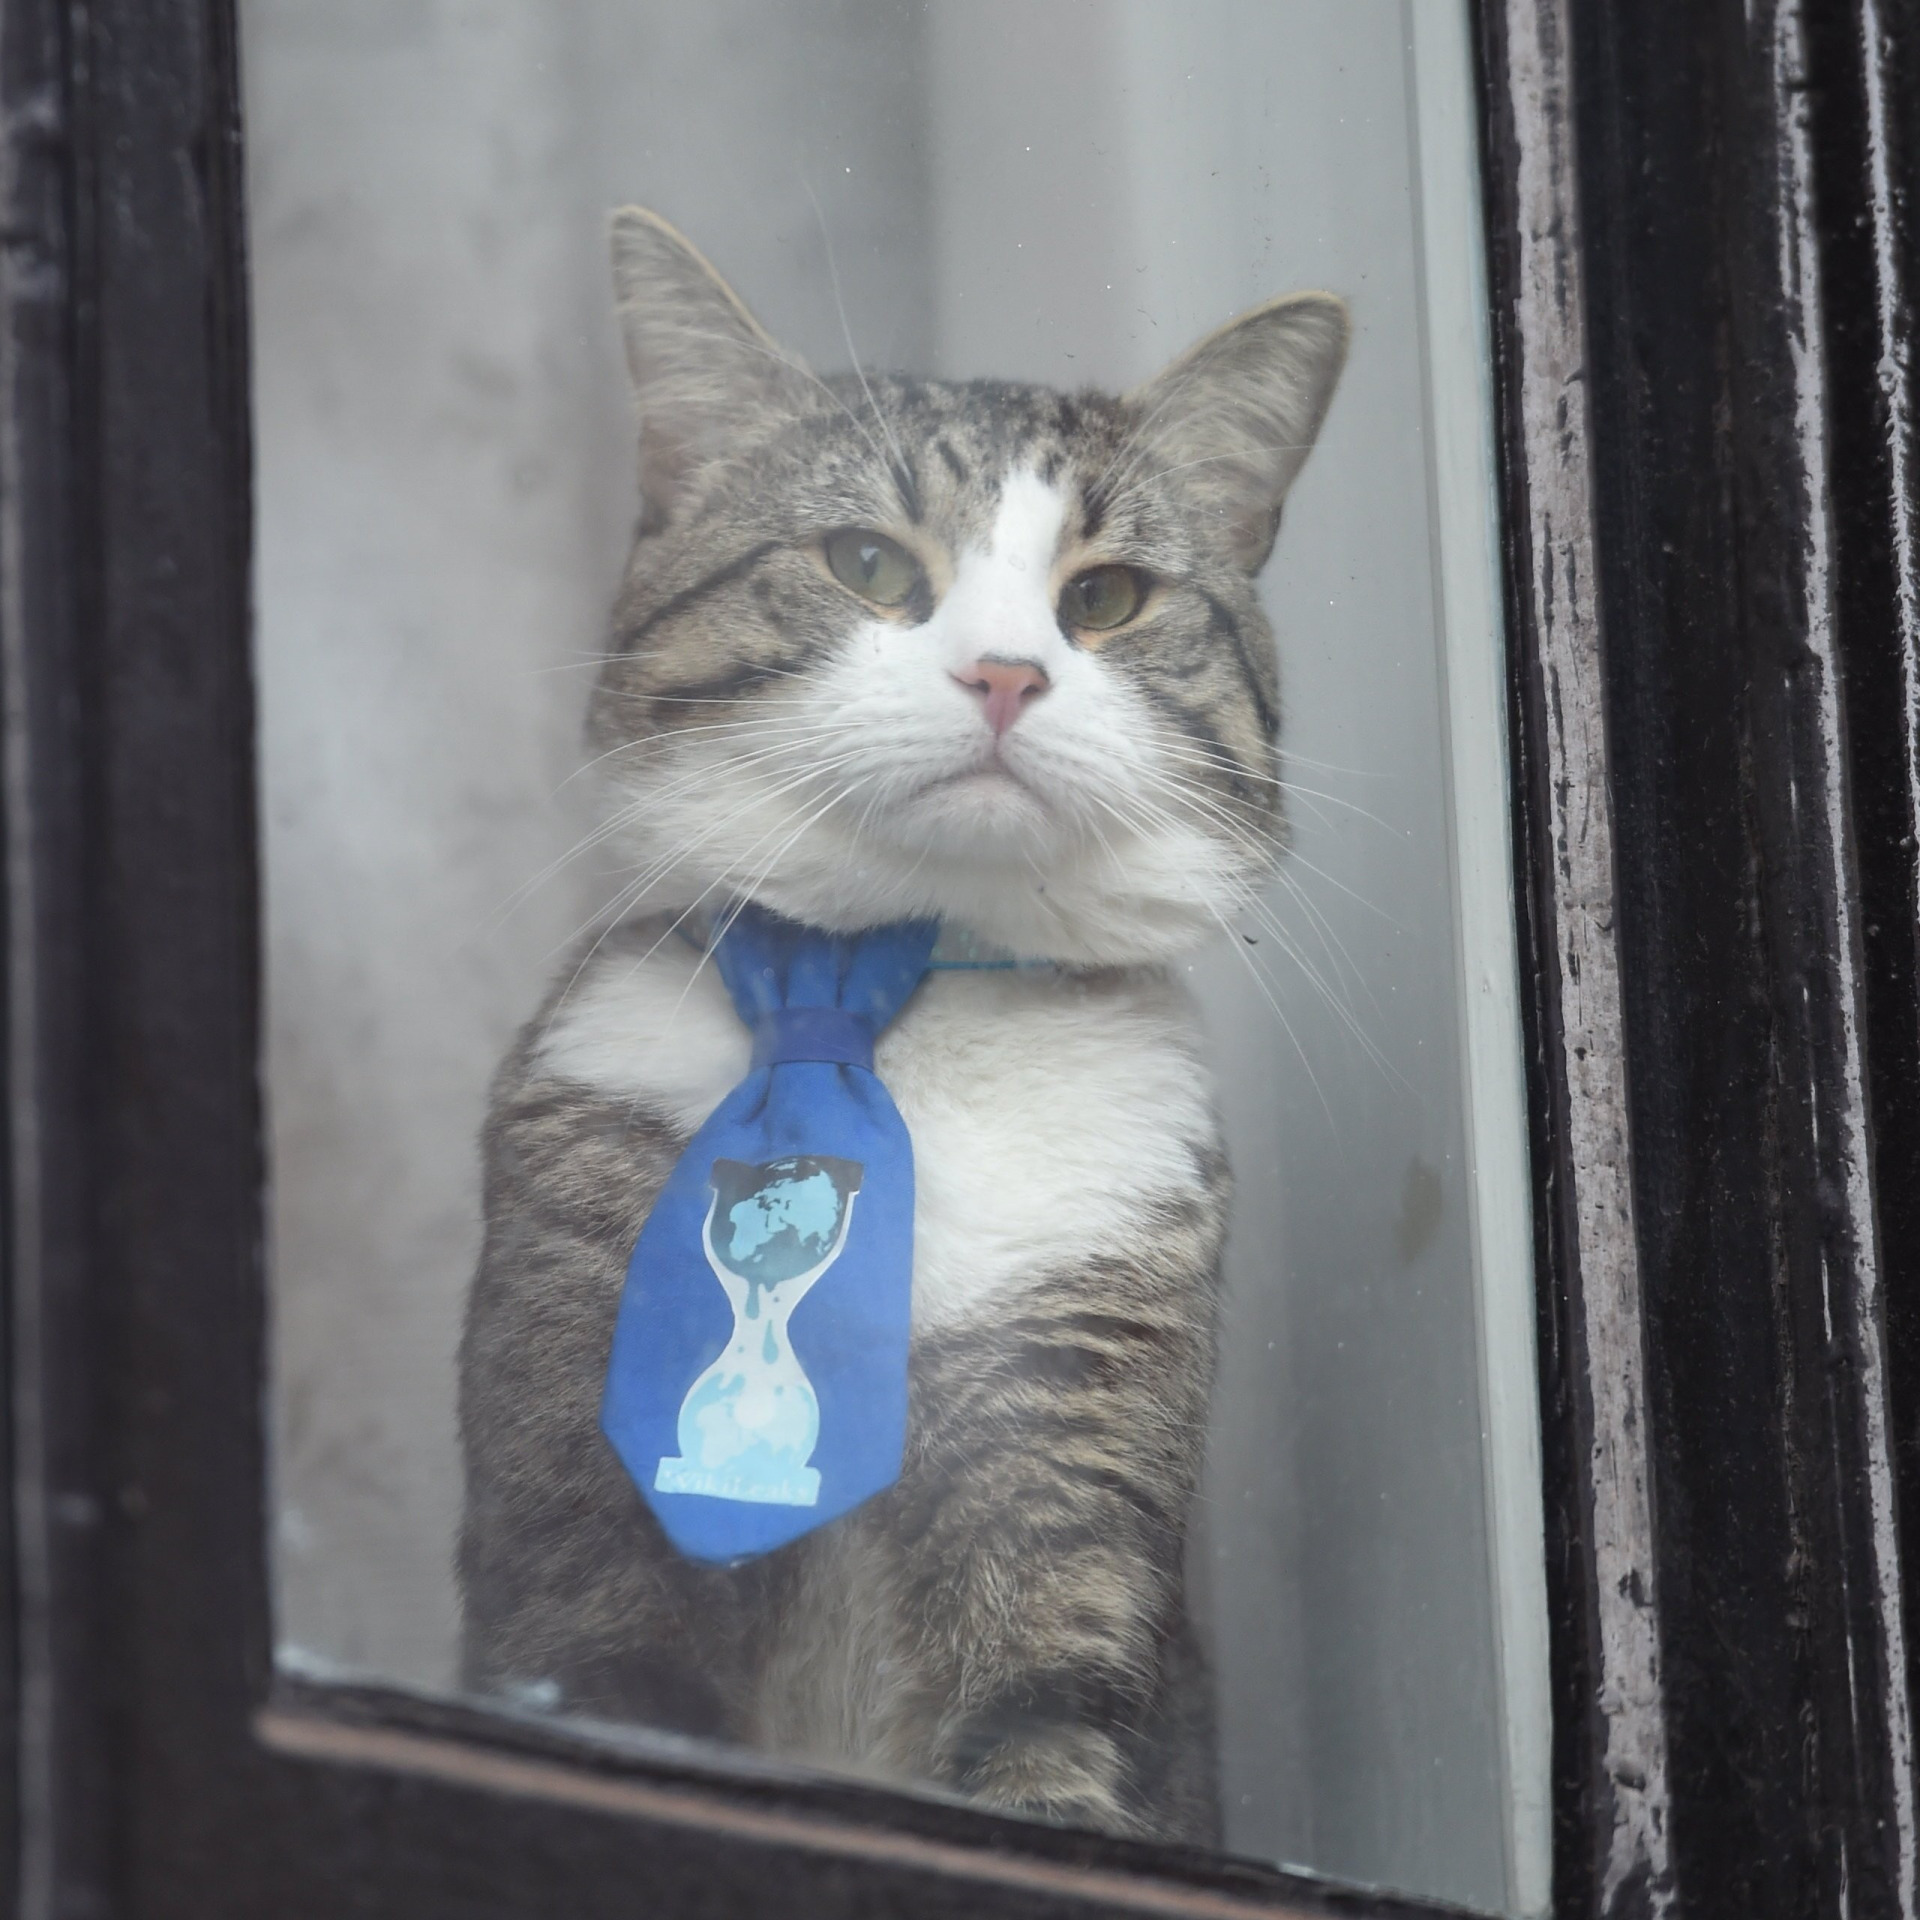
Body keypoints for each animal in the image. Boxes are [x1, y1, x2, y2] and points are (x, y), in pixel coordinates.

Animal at [455, 210, 1344, 1843]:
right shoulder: (576, 1512)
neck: (899, 1019)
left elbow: (1045, 1750)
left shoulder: (1070, 1440)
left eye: (1105, 598)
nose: (1005, 673)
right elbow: (606, 1680)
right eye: (867, 564)